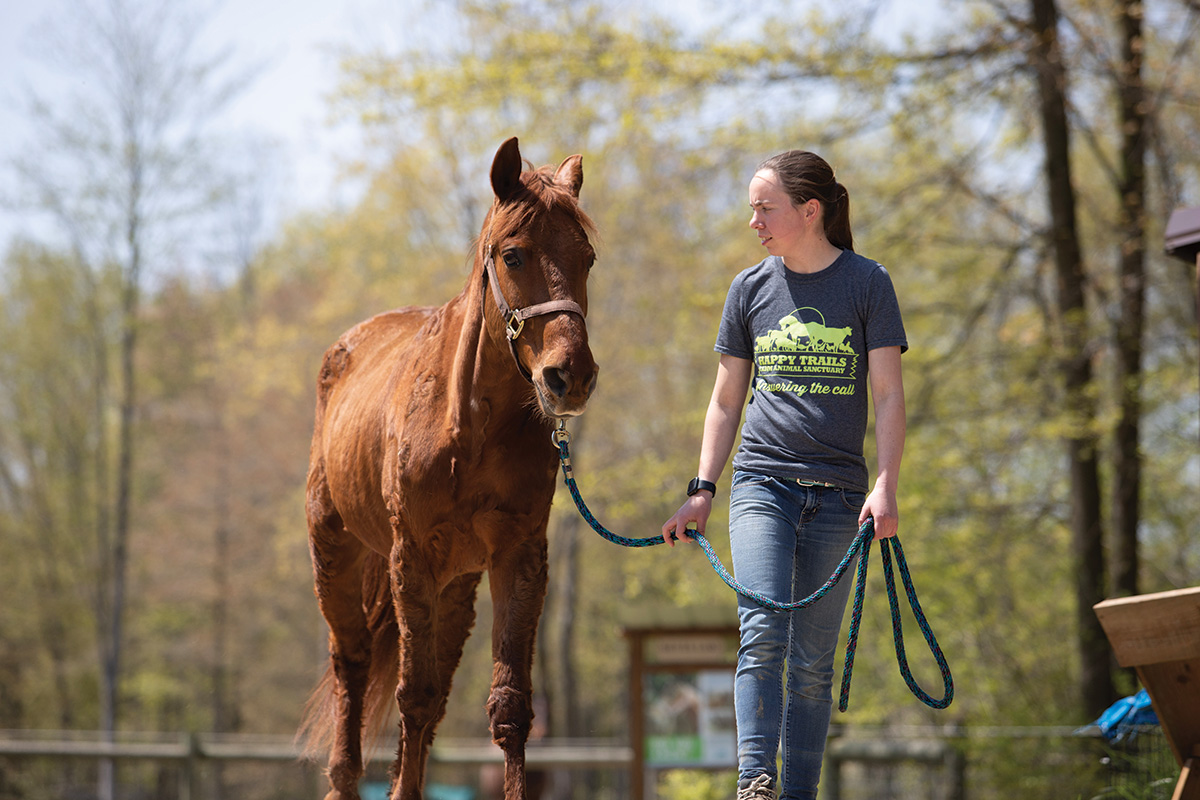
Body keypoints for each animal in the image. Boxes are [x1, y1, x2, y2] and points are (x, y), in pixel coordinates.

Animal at [300, 139, 600, 800]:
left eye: (588, 258)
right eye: (513, 255)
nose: (570, 376)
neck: (467, 427)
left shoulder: (518, 555)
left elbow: (507, 707)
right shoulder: (409, 556)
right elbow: (411, 695)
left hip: (456, 585)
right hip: (335, 555)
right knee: (352, 664)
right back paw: (343, 777)